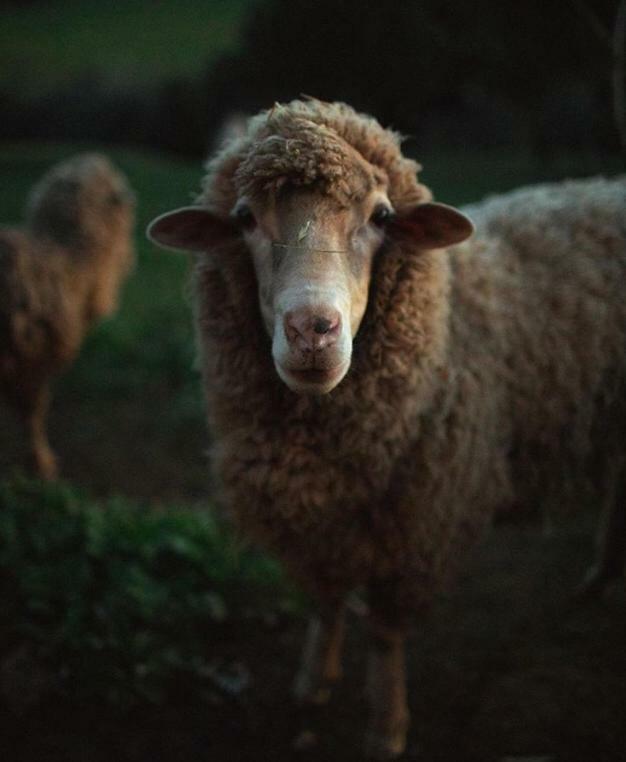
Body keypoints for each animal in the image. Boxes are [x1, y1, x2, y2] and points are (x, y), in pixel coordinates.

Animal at [147, 99, 624, 756]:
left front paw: (386, 725)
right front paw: (313, 682)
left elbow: (384, 631)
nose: (312, 329)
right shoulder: (314, 518)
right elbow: (325, 600)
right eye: (244, 218)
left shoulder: (414, 523)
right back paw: (601, 575)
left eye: (380, 217)